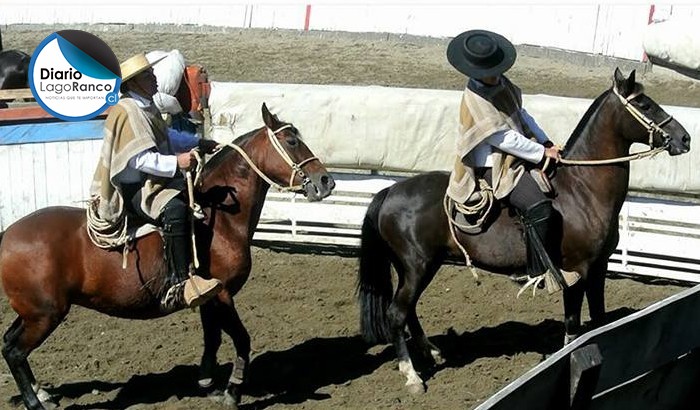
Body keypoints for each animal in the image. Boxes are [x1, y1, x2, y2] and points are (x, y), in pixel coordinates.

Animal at [0, 103, 334, 410]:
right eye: (291, 141)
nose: (326, 181)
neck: (218, 220)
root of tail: (7, 236)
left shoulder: (209, 298)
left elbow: (213, 337)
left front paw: (207, 381)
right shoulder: (223, 293)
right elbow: (241, 339)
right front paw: (233, 389)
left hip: (33, 312)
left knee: (8, 343)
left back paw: (43, 394)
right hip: (45, 314)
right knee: (15, 352)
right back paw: (35, 402)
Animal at [358, 69, 692, 392]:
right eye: (645, 104)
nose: (684, 138)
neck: (582, 189)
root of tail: (389, 192)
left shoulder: (598, 269)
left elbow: (600, 320)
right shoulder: (576, 272)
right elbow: (573, 327)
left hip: (420, 267)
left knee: (409, 310)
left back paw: (432, 352)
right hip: (417, 267)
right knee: (397, 314)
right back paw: (412, 376)